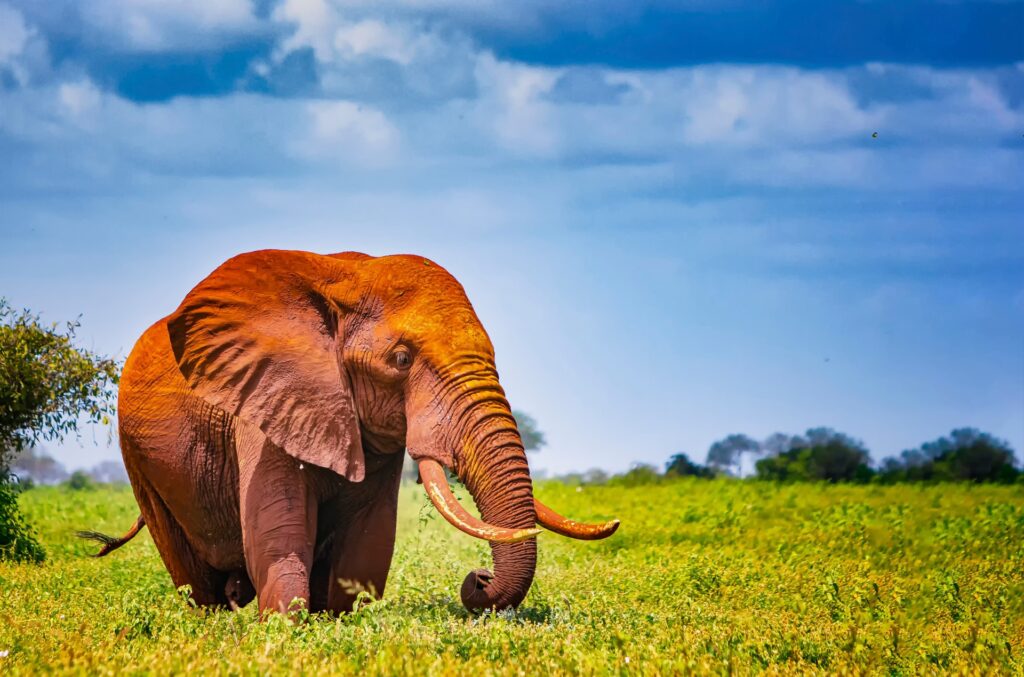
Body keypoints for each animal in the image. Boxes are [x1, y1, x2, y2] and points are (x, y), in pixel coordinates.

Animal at [80, 249, 618, 616]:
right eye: (401, 359)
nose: (479, 579)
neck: (349, 277)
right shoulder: (264, 404)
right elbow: (279, 539)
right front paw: (285, 631)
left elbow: (366, 543)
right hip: (138, 458)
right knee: (192, 576)